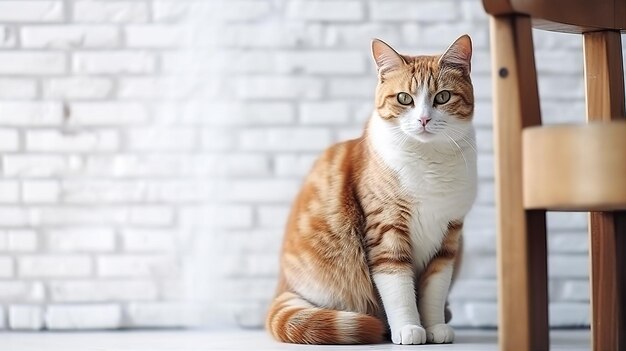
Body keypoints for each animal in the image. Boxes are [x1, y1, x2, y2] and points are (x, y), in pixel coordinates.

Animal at [264, 35, 472, 346]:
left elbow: (435, 289)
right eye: (404, 98)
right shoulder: (386, 231)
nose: (423, 120)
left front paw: (435, 326)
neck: (428, 161)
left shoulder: (449, 238)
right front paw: (409, 328)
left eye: (443, 97)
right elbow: (398, 288)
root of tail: (283, 285)